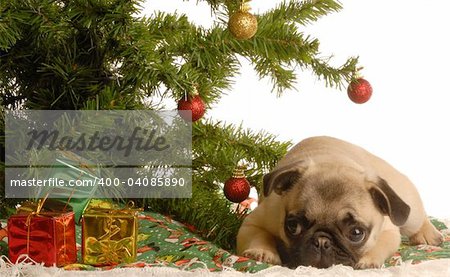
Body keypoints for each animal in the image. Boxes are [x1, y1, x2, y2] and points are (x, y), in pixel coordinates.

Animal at [237, 136, 442, 268]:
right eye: (293, 226)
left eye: (357, 233)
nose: (321, 241)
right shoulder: (256, 221)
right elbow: (259, 235)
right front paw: (262, 251)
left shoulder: (389, 231)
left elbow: (380, 245)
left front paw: (367, 260)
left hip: (408, 212)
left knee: (416, 217)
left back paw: (428, 234)